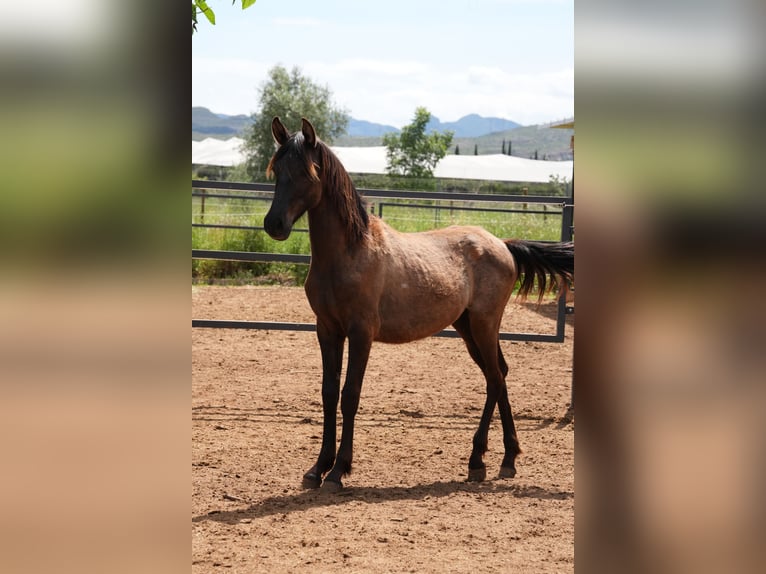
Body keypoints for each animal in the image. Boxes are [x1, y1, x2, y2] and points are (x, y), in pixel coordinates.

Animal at [264, 116, 574, 491]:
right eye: (277, 169)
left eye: (307, 173)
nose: (274, 224)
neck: (349, 252)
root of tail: (502, 244)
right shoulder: (327, 330)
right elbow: (328, 393)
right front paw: (317, 468)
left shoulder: (361, 333)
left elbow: (350, 395)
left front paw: (338, 472)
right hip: (468, 327)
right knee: (497, 375)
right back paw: (505, 459)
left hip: (484, 324)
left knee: (496, 377)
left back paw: (480, 461)